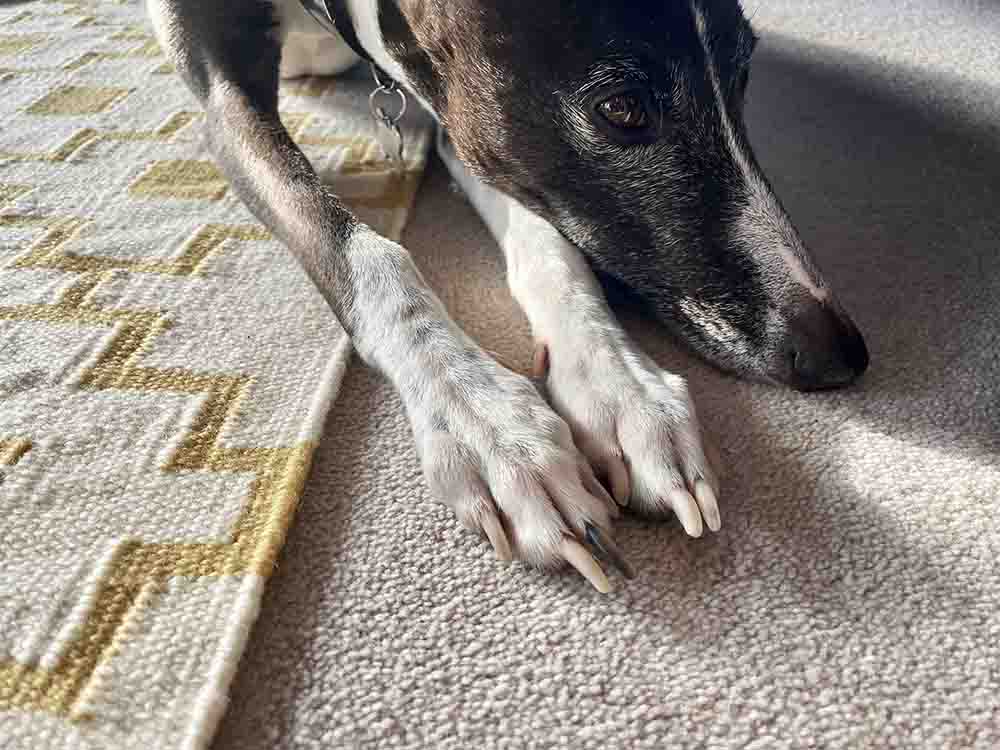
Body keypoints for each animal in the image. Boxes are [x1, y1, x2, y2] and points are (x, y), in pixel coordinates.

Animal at [9, 0, 876, 592]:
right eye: (622, 109)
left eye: (742, 79)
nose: (840, 352)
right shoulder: (223, 102)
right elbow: (367, 251)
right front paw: (489, 425)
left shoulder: (456, 99)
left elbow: (550, 246)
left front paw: (622, 391)